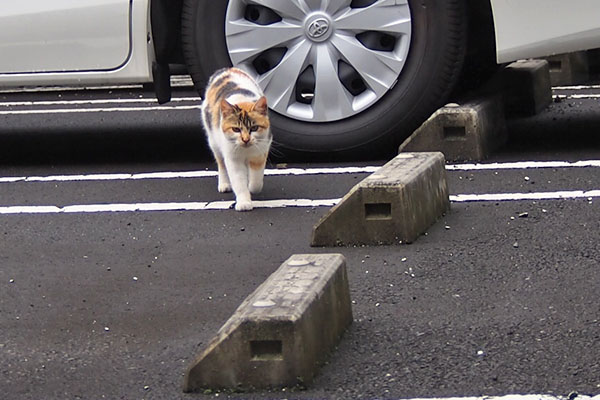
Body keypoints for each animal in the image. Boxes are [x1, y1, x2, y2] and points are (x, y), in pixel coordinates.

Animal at [202, 67, 272, 211]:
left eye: (254, 128)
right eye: (236, 129)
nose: (245, 139)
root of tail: (226, 69)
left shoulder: (260, 151)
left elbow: (256, 180)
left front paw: (252, 186)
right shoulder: (233, 159)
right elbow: (238, 181)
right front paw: (244, 202)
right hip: (214, 142)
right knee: (221, 164)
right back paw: (224, 184)